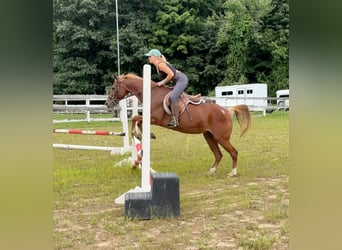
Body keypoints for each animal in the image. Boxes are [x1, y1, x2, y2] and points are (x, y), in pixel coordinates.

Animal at [105, 73, 252, 177]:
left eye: (113, 88)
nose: (107, 103)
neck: (152, 94)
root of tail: (227, 111)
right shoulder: (151, 118)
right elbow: (138, 120)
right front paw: (148, 135)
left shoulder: (156, 118)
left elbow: (135, 118)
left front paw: (136, 133)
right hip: (209, 136)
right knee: (218, 154)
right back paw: (211, 171)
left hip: (221, 138)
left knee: (233, 152)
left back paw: (233, 172)